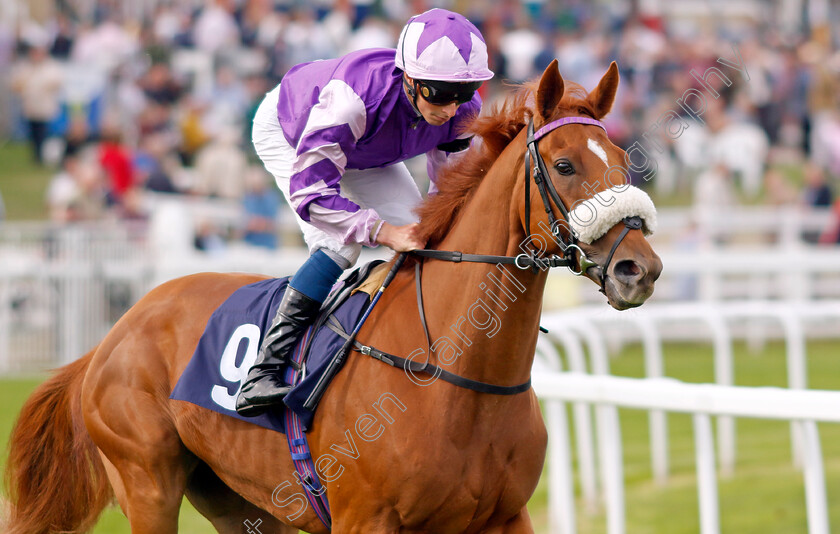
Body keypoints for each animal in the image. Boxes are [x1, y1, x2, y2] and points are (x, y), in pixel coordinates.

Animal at [4, 60, 664, 532]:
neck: (454, 375)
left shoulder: (505, 517)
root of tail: (114, 331)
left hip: (238, 497)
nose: (640, 268)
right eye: (564, 165)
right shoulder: (363, 520)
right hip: (148, 483)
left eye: (623, 159)